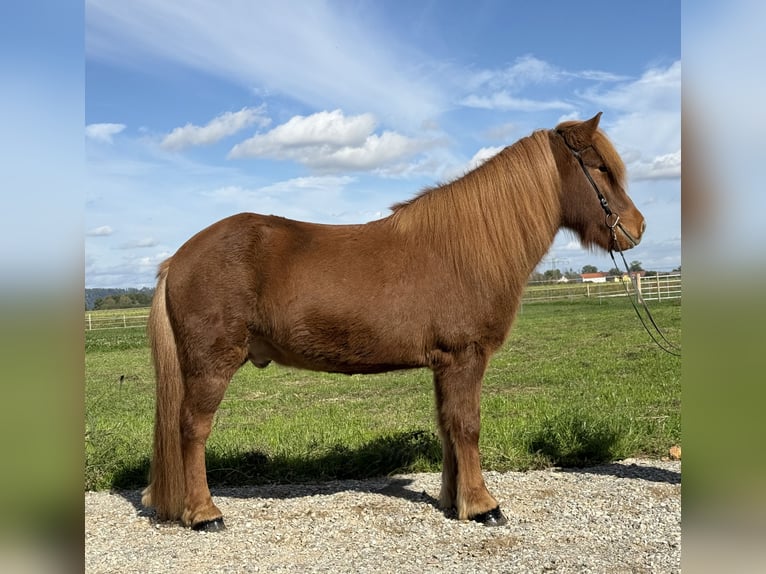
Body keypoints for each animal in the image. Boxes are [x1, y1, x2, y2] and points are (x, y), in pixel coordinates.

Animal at [141, 113, 645, 531]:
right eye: (600, 167)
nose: (637, 228)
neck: (464, 249)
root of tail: (179, 258)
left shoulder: (445, 364)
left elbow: (448, 427)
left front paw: (454, 501)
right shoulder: (466, 358)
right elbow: (468, 425)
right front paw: (484, 506)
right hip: (211, 366)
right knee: (192, 430)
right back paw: (204, 513)